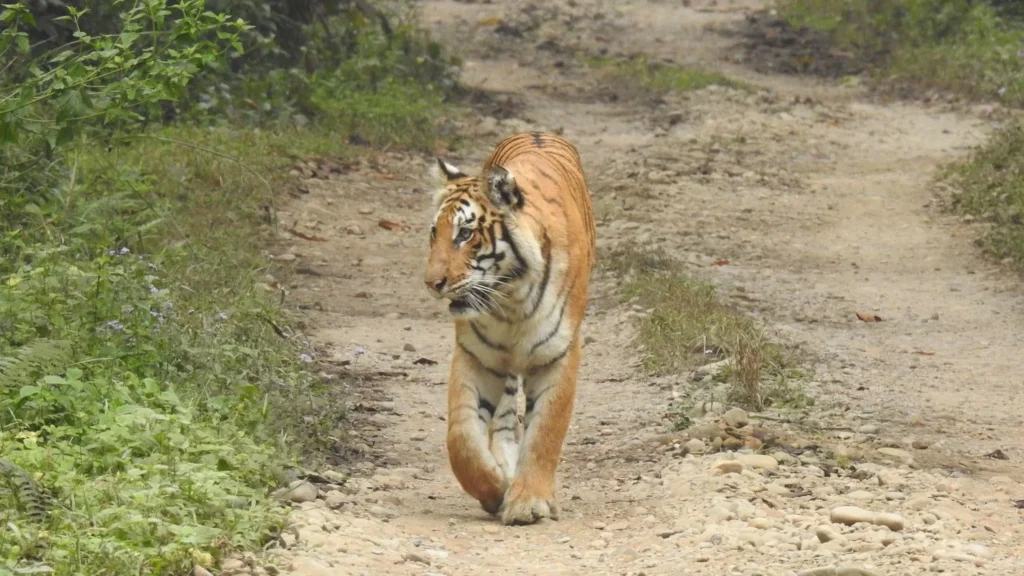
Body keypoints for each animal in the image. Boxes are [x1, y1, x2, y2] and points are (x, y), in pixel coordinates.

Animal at [423, 132, 596, 525]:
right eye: (434, 233)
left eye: (465, 234)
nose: (432, 283)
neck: (510, 299)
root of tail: (538, 133)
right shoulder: (477, 356)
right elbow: (461, 438)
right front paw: (494, 490)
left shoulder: (558, 355)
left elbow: (545, 431)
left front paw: (528, 502)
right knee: (502, 422)